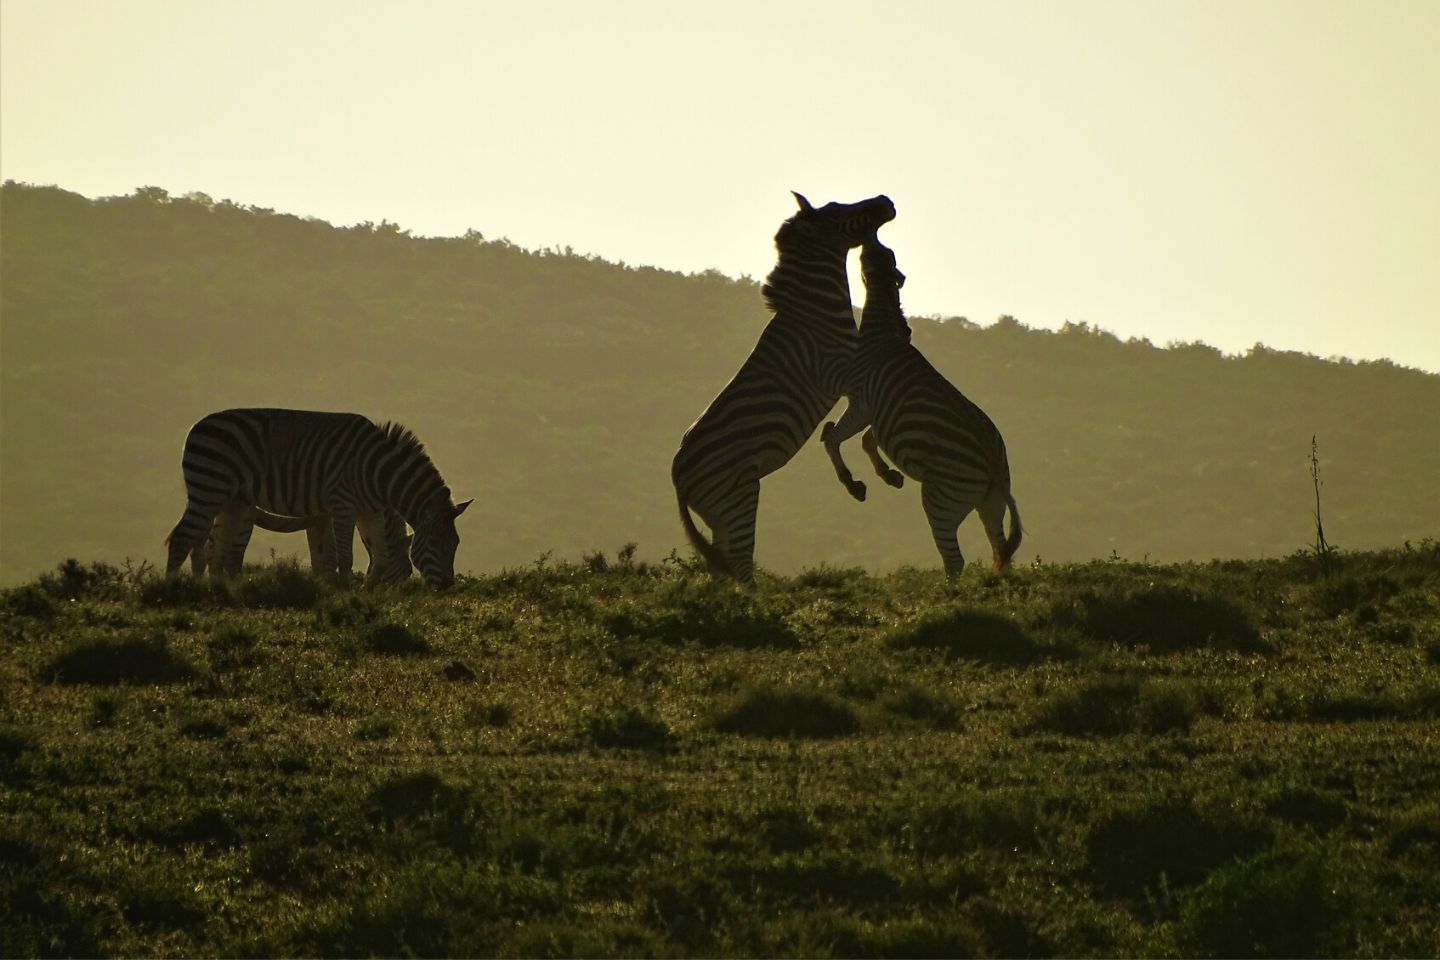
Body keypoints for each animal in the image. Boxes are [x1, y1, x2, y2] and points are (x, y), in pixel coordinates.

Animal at [201, 503, 411, 587]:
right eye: (406, 574)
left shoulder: (319, 519)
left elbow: (319, 555)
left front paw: (324, 583)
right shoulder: (328, 516)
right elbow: (328, 555)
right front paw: (332, 583)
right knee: (228, 552)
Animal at [671, 191, 892, 581]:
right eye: (836, 211)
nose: (885, 200)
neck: (815, 312)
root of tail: (678, 475)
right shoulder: (841, 372)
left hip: (719, 515)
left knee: (722, 570)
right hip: (739, 500)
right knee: (741, 567)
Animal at [823, 236, 1025, 575]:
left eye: (879, 255)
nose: (869, 239)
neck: (882, 332)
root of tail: (993, 463)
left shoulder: (861, 402)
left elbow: (831, 438)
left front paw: (853, 485)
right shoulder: (877, 412)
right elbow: (865, 440)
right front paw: (889, 476)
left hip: (941, 501)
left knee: (955, 560)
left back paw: (946, 590)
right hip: (992, 504)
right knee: (1001, 554)